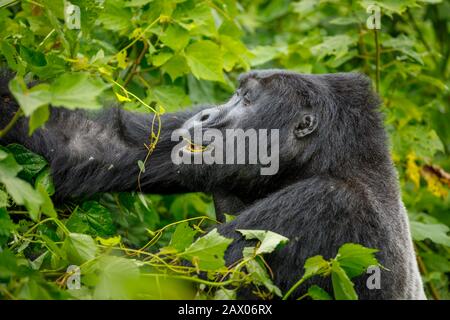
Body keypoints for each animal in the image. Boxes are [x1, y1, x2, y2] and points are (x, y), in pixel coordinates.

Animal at [0, 69, 426, 298]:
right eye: (236, 94)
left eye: (247, 100)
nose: (207, 115)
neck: (329, 159)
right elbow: (91, 142)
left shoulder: (324, 203)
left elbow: (172, 279)